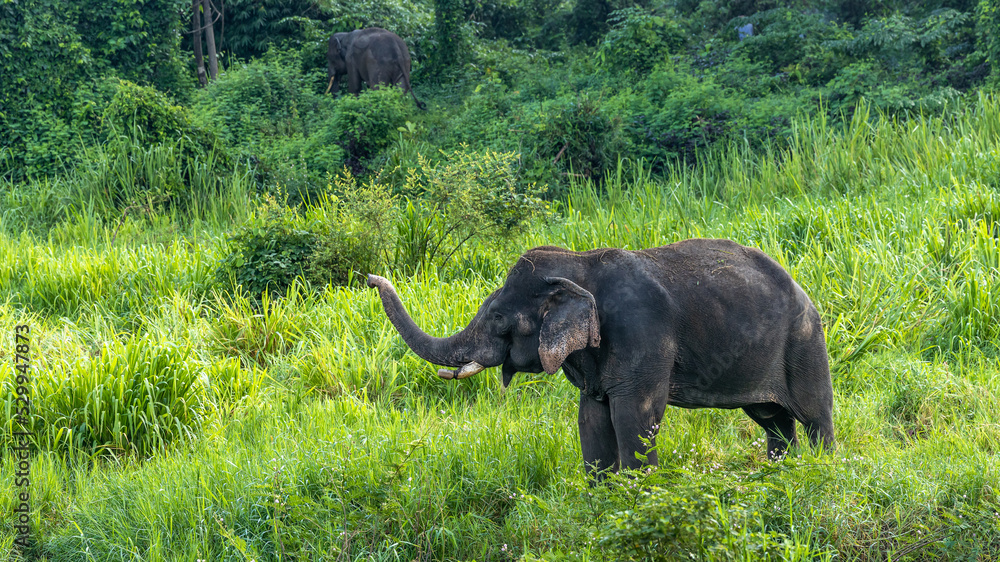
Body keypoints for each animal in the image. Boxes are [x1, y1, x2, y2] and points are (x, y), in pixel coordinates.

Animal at [367, 239, 835, 477]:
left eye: (498, 317)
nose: (370, 277)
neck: (579, 265)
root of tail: (804, 292)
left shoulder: (641, 333)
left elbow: (634, 416)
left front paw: (640, 494)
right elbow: (590, 418)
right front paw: (604, 496)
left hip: (805, 341)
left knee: (813, 413)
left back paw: (824, 470)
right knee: (772, 419)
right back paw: (780, 475)